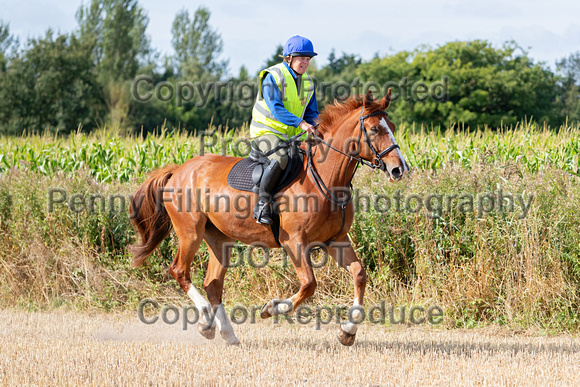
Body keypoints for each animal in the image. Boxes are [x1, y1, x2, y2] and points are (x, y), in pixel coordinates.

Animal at [129, 89, 410, 348]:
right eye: (374, 129)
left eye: (393, 127)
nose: (399, 169)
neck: (325, 178)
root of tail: (179, 169)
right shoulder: (294, 242)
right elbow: (309, 284)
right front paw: (271, 309)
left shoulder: (336, 240)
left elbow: (359, 275)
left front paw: (347, 332)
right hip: (190, 232)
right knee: (180, 271)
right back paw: (206, 321)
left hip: (219, 238)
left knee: (212, 284)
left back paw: (227, 334)